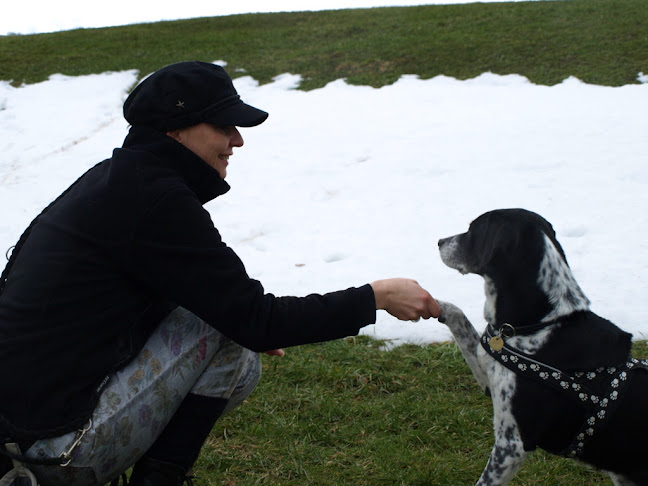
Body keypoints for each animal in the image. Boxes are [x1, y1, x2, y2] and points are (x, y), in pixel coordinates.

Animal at [436, 209, 648, 486]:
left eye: (472, 229)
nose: (439, 242)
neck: (540, 324)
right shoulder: (488, 377)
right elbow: (457, 315)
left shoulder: (512, 446)